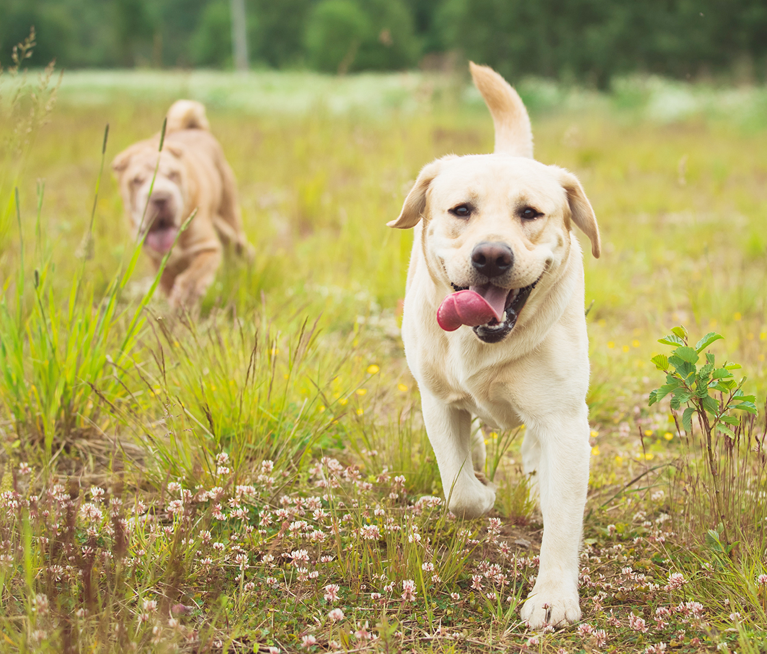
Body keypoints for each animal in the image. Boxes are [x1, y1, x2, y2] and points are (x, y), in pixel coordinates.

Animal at [112, 100, 254, 310]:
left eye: (173, 174)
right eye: (136, 180)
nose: (160, 197)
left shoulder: (208, 247)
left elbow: (192, 278)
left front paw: (183, 303)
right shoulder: (157, 259)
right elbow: (166, 282)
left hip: (229, 219)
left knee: (239, 247)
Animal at [392, 64, 604, 632]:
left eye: (530, 213)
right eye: (461, 210)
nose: (491, 256)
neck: (484, 344)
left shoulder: (564, 420)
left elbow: (561, 521)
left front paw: (552, 597)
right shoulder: (437, 401)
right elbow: (460, 490)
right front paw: (481, 487)